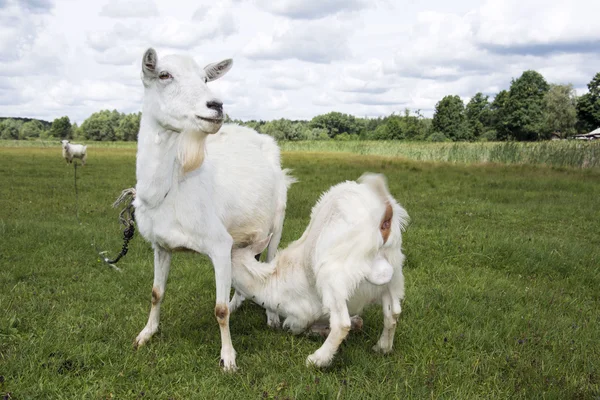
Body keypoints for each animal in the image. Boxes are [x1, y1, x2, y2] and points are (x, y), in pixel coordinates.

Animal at [132, 47, 292, 372]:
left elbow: (218, 310)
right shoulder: (161, 244)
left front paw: (228, 358)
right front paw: (146, 334)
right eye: (163, 74)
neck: (172, 189)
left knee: (270, 261)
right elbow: (156, 293)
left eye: (205, 78)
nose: (216, 105)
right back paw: (238, 301)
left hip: (277, 220)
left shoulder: (218, 243)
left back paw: (271, 318)